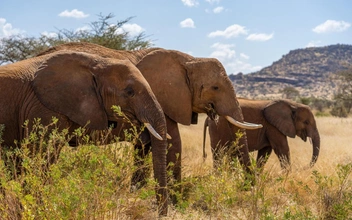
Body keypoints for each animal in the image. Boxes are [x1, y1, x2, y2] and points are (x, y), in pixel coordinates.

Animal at [0, 50, 169, 216]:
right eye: (130, 92)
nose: (161, 214)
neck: (96, 63)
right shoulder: (42, 109)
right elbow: (38, 162)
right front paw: (38, 212)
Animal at [37, 43, 262, 192]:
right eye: (215, 88)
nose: (248, 188)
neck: (188, 58)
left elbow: (144, 146)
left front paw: (137, 192)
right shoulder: (161, 98)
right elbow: (173, 143)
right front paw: (176, 199)